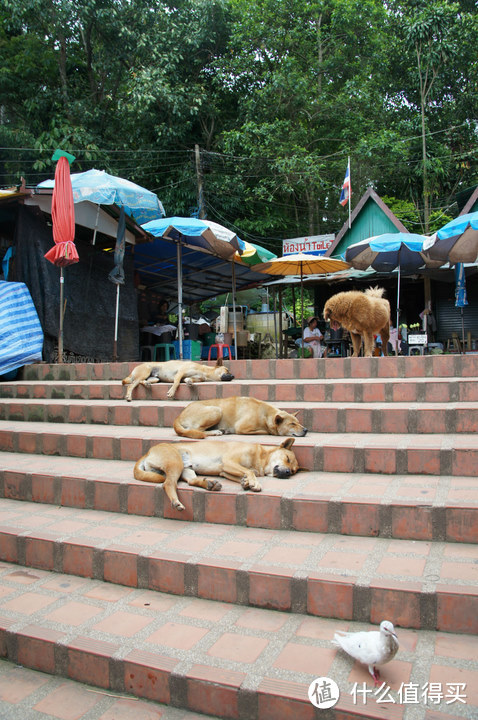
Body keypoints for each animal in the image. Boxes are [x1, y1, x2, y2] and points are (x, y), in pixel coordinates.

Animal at [134, 436, 298, 510]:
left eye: (294, 471)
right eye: (287, 458)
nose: (287, 472)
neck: (260, 457)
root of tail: (148, 452)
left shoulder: (224, 471)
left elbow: (245, 474)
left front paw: (245, 482)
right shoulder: (228, 461)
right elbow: (248, 472)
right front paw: (253, 483)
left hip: (187, 469)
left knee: (191, 481)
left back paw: (209, 484)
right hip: (175, 463)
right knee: (168, 483)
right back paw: (176, 502)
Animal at [174, 394, 308, 438]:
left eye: (298, 422)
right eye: (292, 424)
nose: (306, 429)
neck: (264, 414)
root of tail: (179, 416)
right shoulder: (241, 428)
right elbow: (264, 431)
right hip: (216, 410)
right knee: (197, 430)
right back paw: (216, 432)